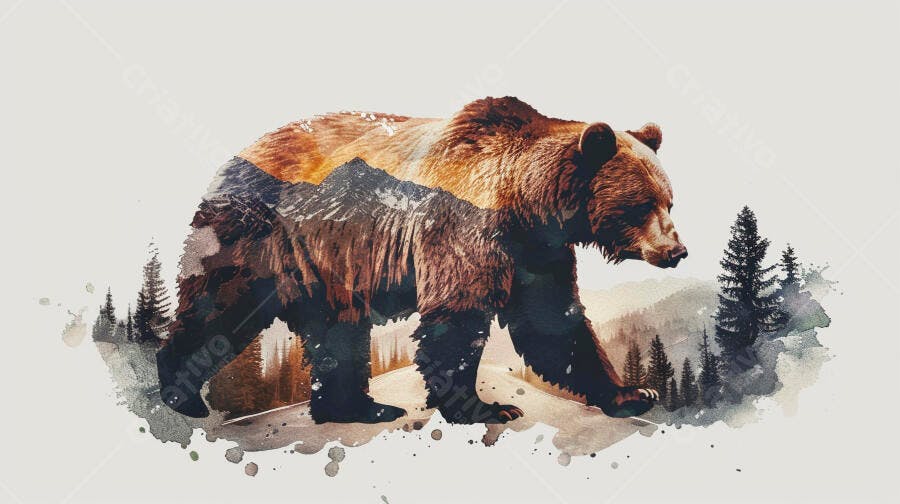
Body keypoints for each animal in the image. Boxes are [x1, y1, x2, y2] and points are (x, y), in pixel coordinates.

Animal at [157, 96, 687, 424]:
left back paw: (361, 408)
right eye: (641, 204)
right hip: (261, 233)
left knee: (337, 330)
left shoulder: (538, 252)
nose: (676, 251)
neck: (526, 201)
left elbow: (554, 322)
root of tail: (231, 161)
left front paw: (632, 393)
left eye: (669, 201)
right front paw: (486, 407)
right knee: (221, 306)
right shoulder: (464, 227)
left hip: (330, 260)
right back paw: (182, 394)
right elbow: (457, 316)